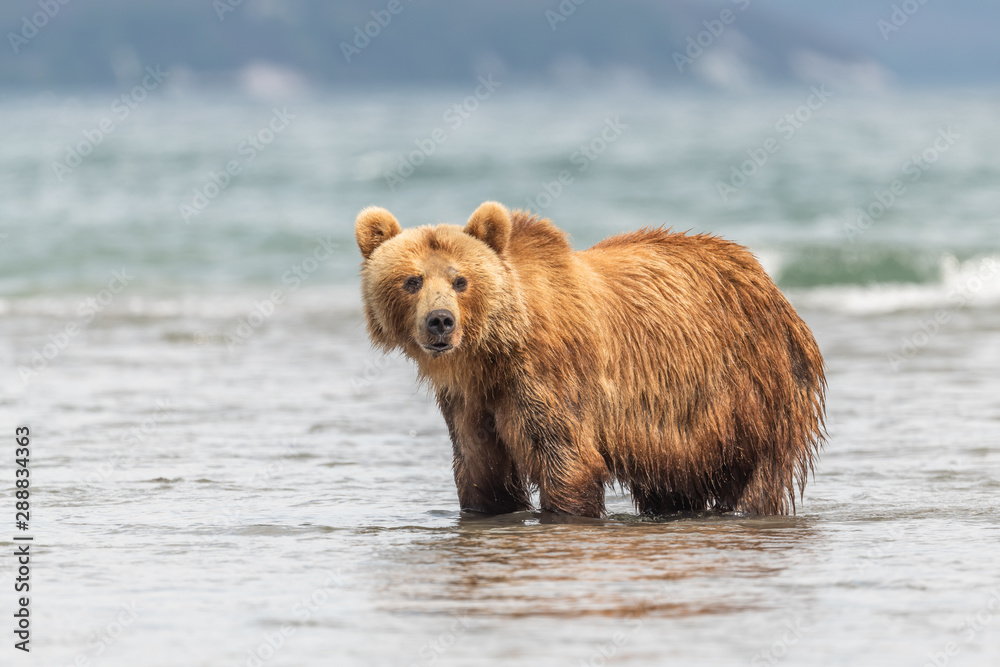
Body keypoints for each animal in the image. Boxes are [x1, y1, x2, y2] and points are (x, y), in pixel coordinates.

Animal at [355, 201, 826, 518]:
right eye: (412, 280)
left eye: (460, 280)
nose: (440, 321)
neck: (492, 353)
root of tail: (761, 274)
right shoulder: (468, 400)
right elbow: (480, 468)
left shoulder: (547, 378)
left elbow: (566, 460)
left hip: (754, 388)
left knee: (759, 475)